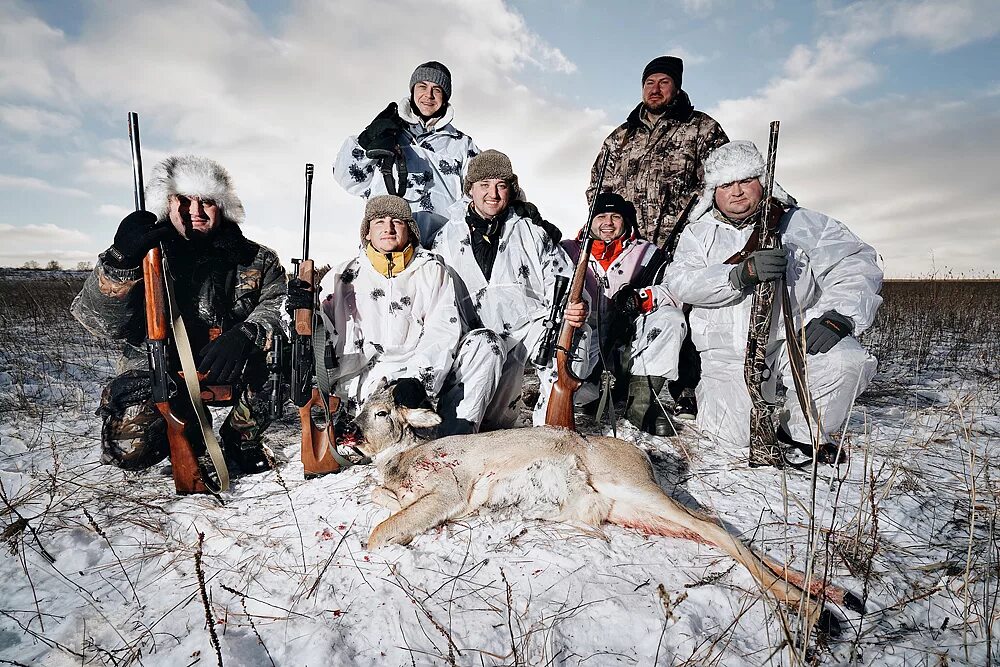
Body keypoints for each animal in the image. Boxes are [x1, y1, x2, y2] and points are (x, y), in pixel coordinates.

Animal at [350, 380, 860, 632]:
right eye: (357, 406)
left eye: (381, 412)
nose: (349, 429)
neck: (401, 461)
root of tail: (641, 455)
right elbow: (379, 502)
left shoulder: (449, 489)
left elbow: (379, 530)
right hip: (629, 510)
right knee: (712, 526)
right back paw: (835, 596)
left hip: (632, 488)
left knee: (717, 530)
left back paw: (816, 612)